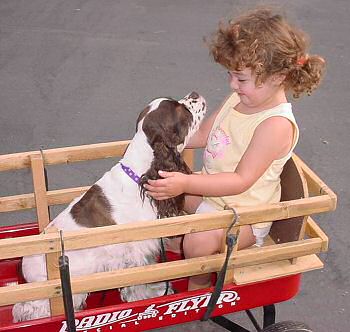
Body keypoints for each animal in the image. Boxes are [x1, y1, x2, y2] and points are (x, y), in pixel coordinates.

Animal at [12, 91, 206, 322]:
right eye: (182, 110)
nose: (195, 94)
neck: (139, 175)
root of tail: (24, 268)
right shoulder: (133, 251)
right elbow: (138, 281)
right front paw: (150, 294)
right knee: (27, 308)